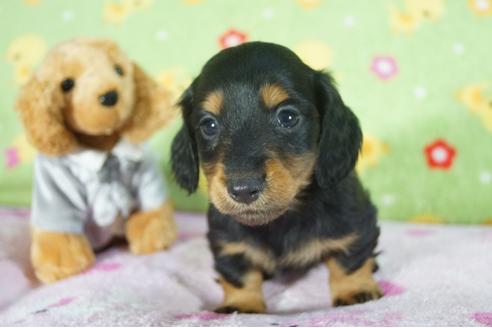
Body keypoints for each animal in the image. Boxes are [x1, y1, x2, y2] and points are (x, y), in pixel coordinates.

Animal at [171, 41, 382, 312]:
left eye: (287, 117)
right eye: (209, 125)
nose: (243, 189)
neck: (281, 218)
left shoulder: (353, 220)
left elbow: (349, 257)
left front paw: (355, 290)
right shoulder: (227, 238)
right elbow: (238, 270)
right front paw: (242, 305)